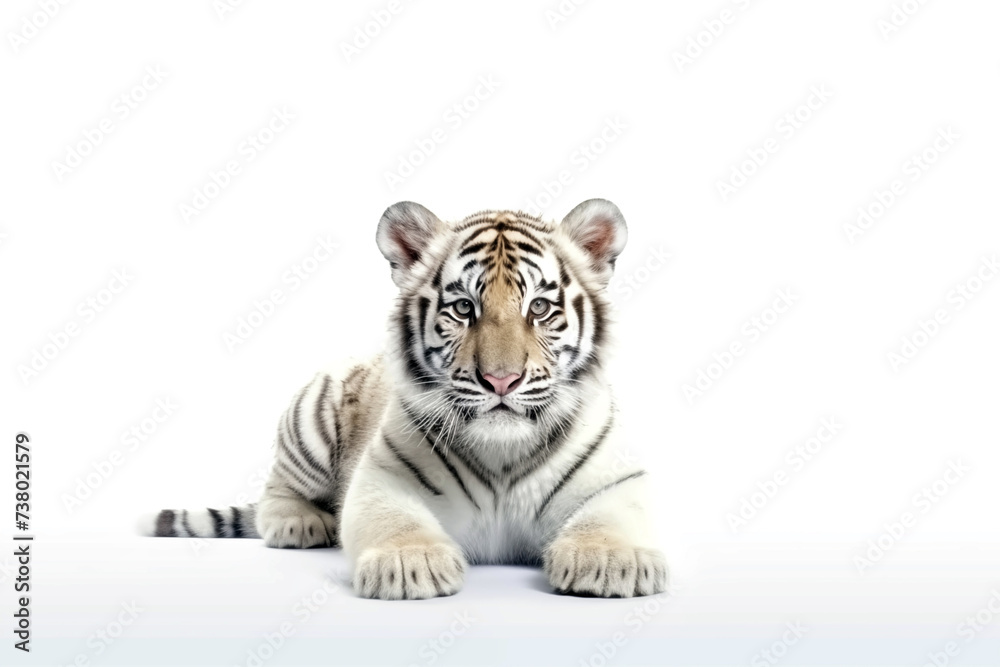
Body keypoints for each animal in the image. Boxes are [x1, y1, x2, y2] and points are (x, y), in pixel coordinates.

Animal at [144, 198, 668, 600]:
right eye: (463, 308)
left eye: (538, 307)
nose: (501, 380)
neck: (503, 454)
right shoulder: (383, 476)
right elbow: (394, 520)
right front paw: (409, 564)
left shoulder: (619, 479)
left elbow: (610, 516)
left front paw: (609, 560)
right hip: (311, 418)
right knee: (278, 489)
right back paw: (300, 523)